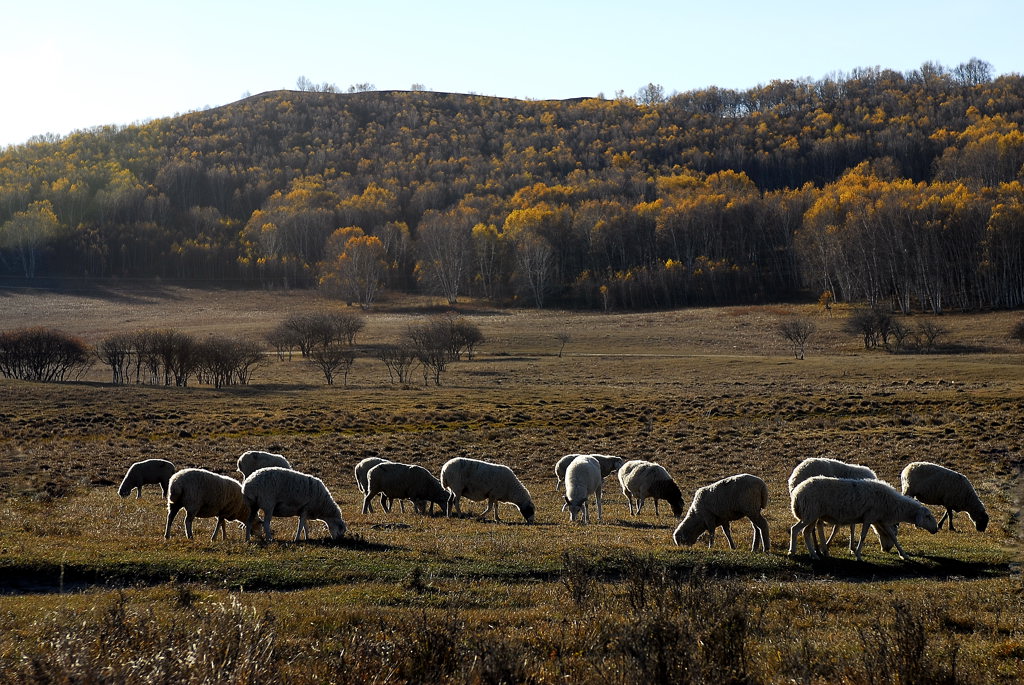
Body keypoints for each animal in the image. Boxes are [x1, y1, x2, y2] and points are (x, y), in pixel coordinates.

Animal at [786, 475, 937, 561]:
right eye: (928, 516)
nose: (936, 529)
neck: (892, 504)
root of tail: (797, 494)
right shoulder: (869, 517)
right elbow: (863, 536)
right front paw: (858, 555)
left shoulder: (881, 520)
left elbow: (893, 537)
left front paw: (904, 555)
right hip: (810, 513)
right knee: (795, 529)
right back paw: (792, 551)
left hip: (813, 515)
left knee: (806, 532)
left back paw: (815, 554)